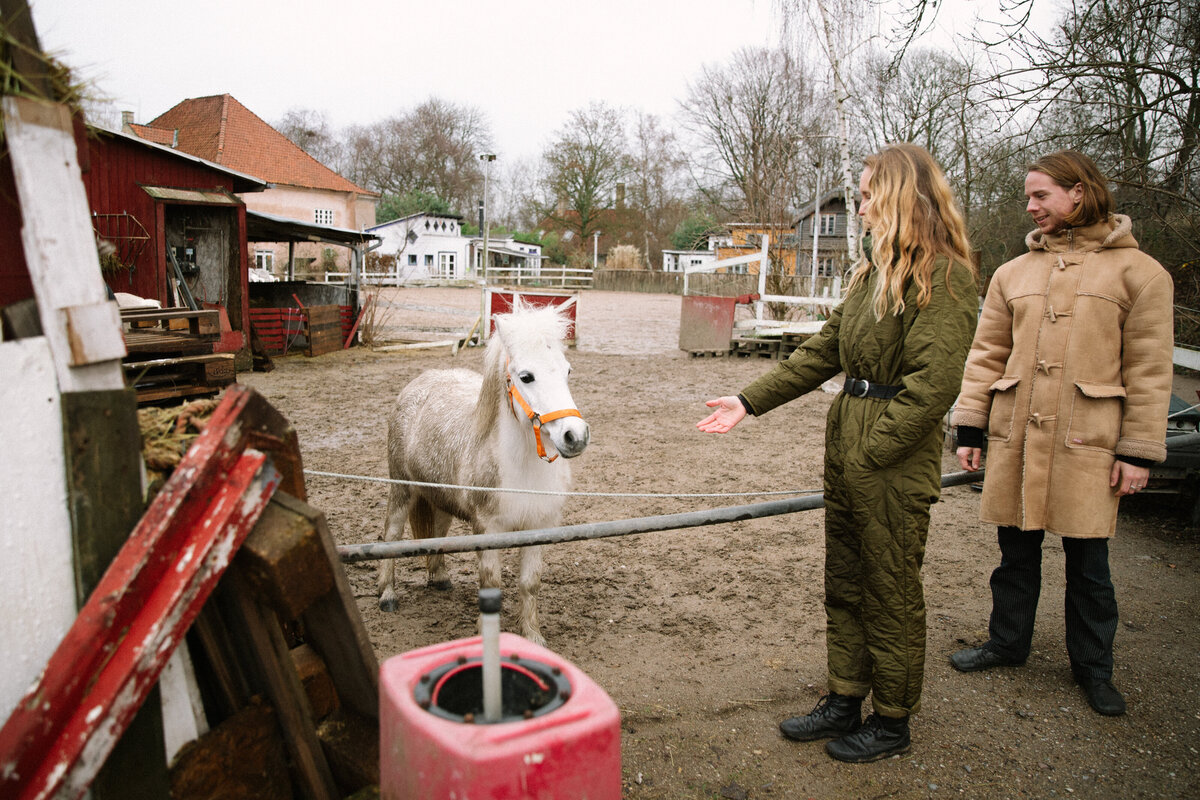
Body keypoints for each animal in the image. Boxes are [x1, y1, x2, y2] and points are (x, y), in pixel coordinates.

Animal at [369, 299, 585, 642]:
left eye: (567, 371)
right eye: (526, 377)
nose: (575, 436)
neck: (522, 470)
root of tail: (418, 384)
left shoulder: (539, 525)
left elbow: (530, 583)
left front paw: (532, 636)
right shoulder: (487, 528)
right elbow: (490, 583)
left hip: (440, 497)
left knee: (438, 531)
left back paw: (440, 577)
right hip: (402, 488)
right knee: (391, 535)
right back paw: (387, 595)